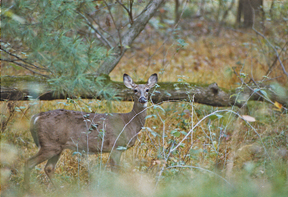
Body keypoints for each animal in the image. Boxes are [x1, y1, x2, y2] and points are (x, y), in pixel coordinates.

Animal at [23, 73, 158, 189]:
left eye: (147, 90)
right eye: (135, 90)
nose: (142, 99)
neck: (129, 122)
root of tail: (36, 117)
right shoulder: (116, 145)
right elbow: (115, 172)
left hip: (57, 147)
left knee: (49, 168)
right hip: (49, 144)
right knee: (29, 163)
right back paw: (28, 189)